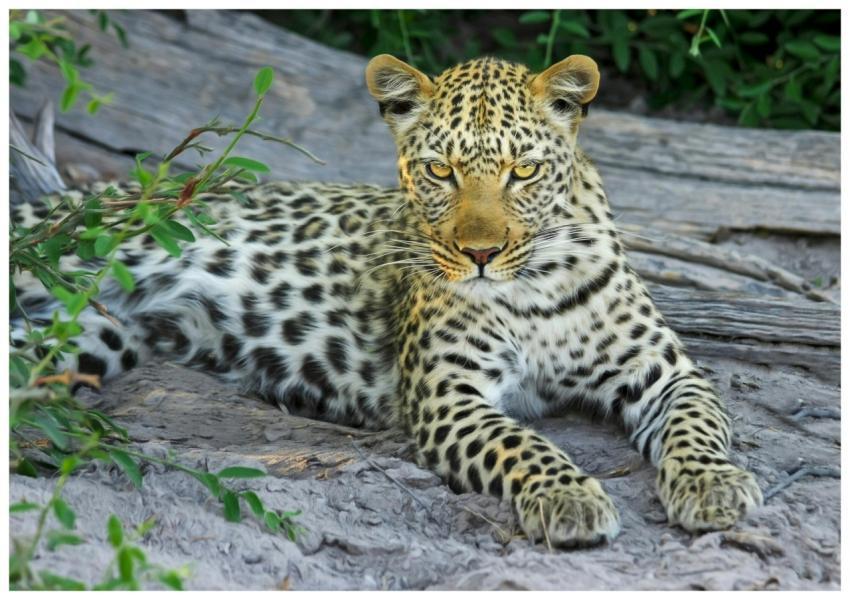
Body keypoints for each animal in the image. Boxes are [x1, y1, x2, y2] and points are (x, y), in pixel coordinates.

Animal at [11, 54, 763, 547]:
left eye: (523, 171)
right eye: (439, 171)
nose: (481, 254)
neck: (534, 284)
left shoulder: (666, 372)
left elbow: (697, 424)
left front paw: (714, 486)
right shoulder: (447, 395)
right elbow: (522, 443)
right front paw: (567, 494)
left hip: (88, 337)